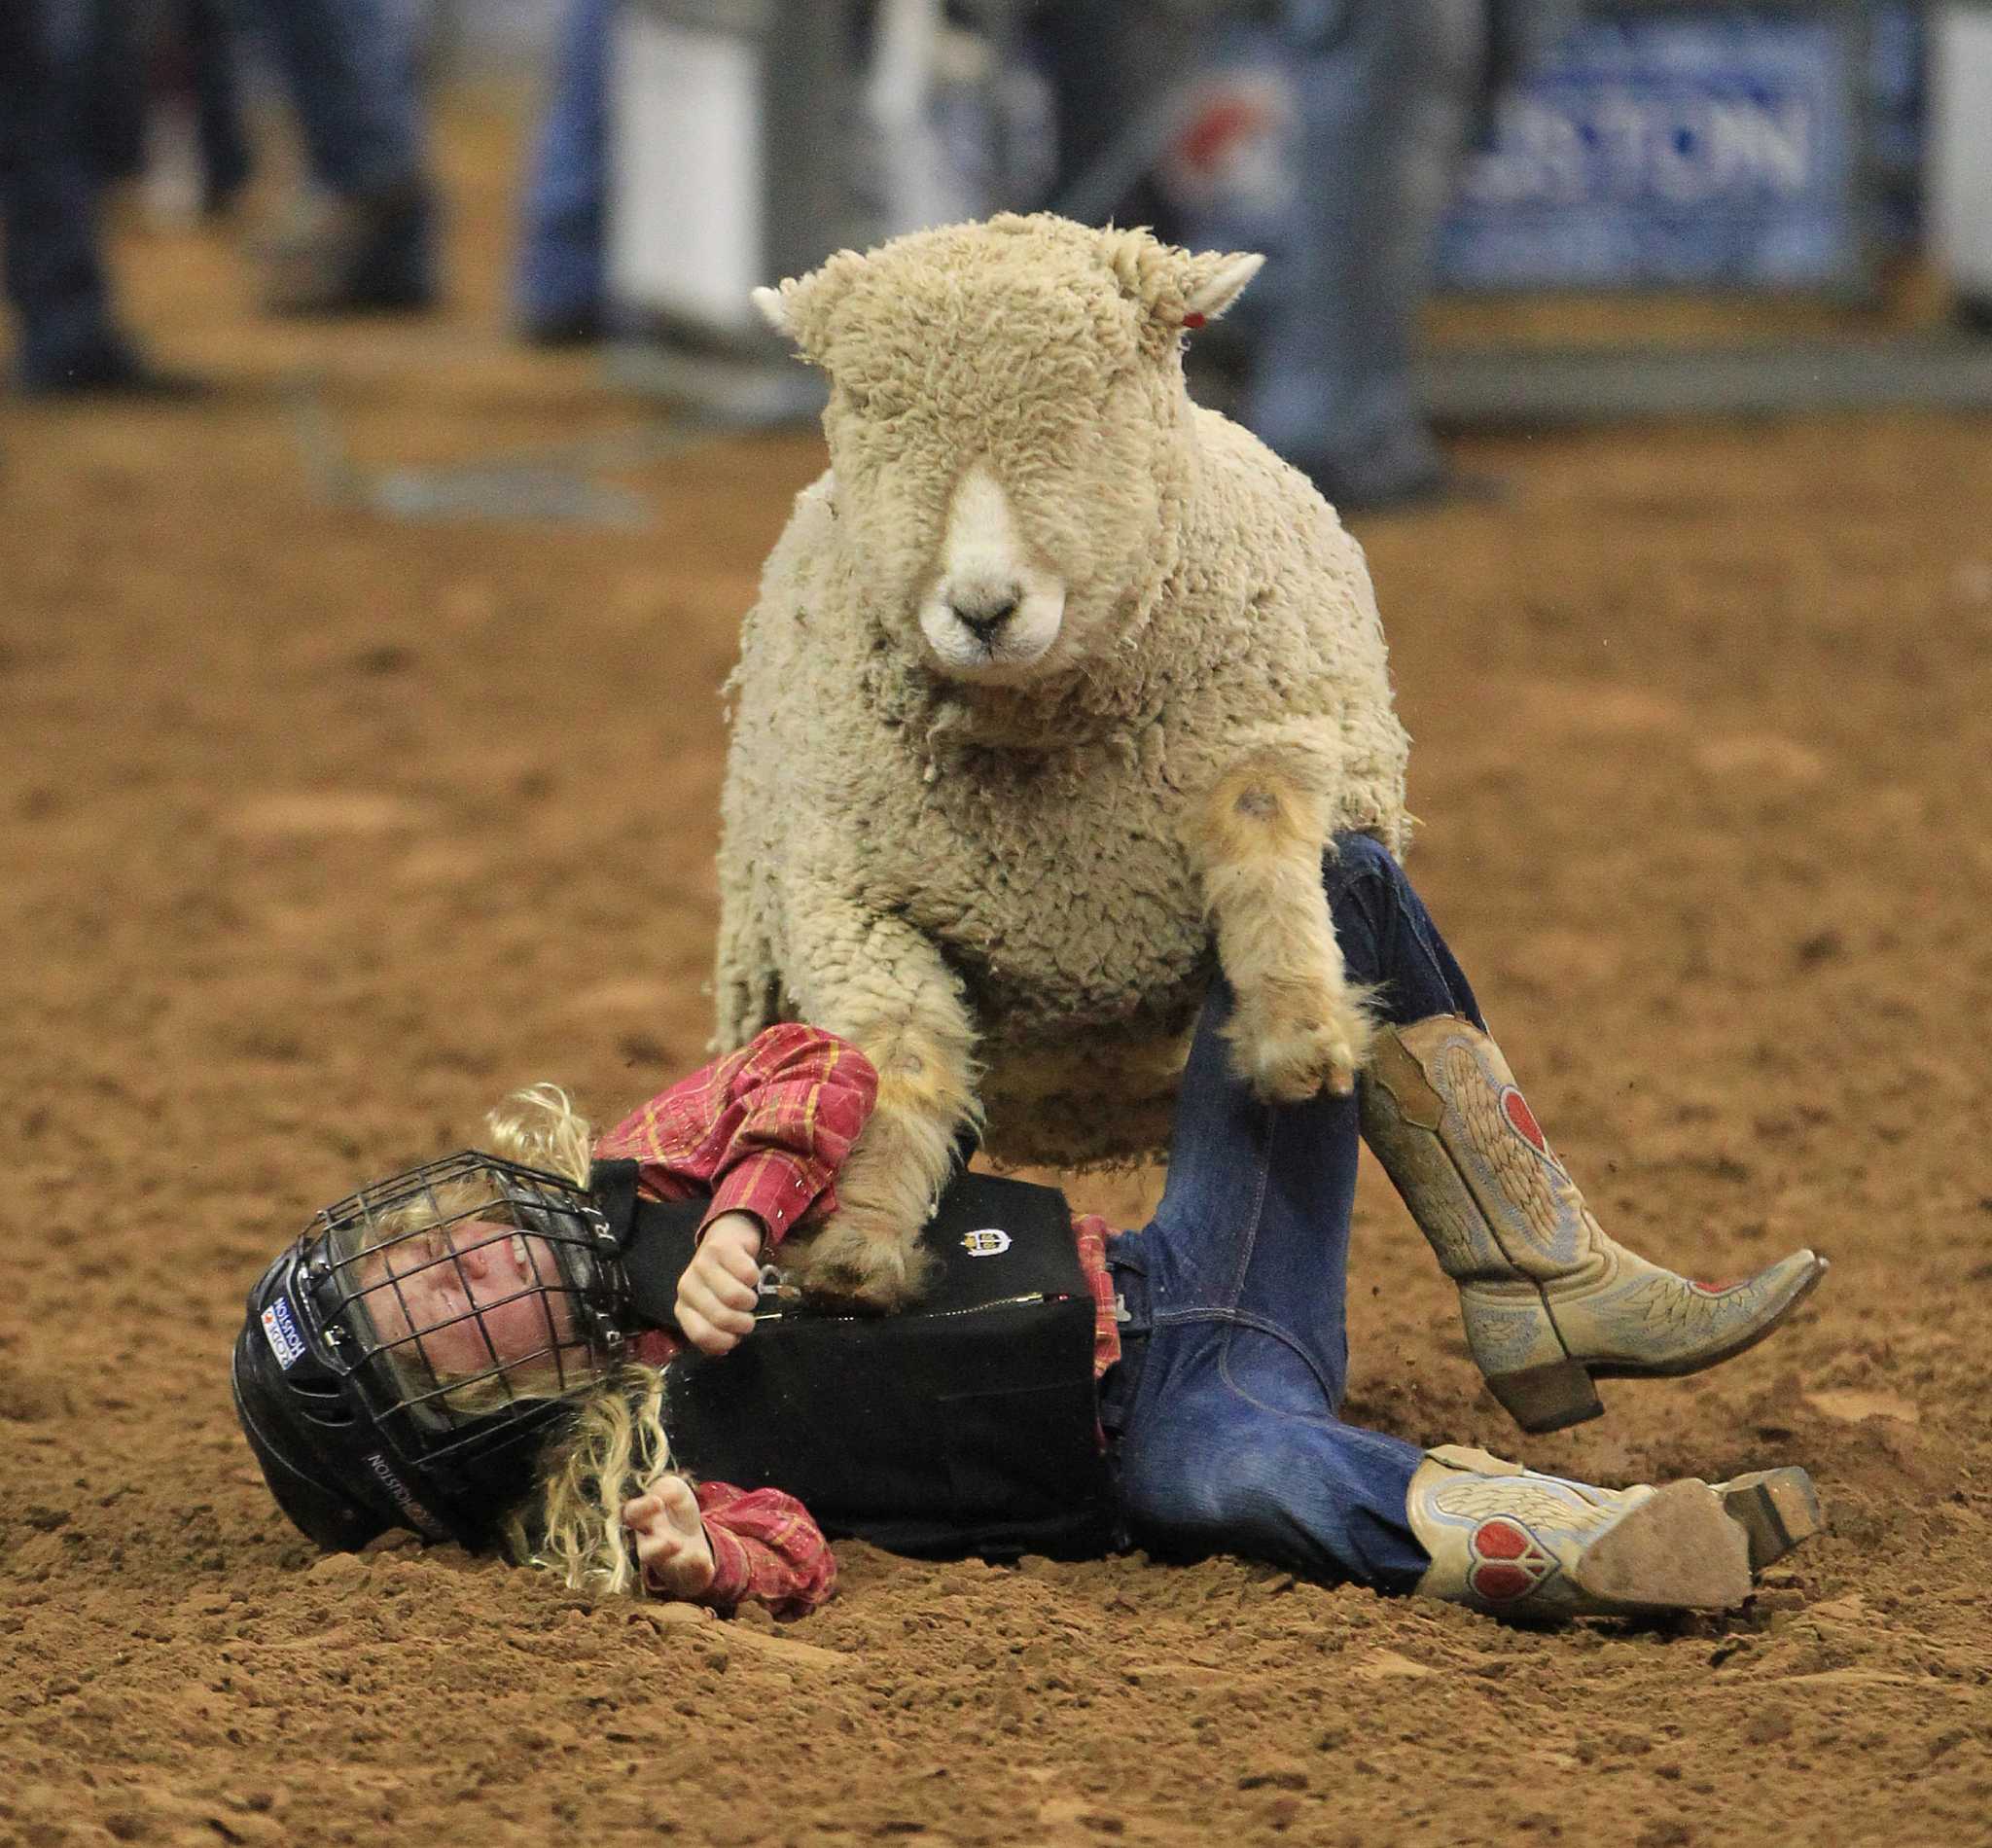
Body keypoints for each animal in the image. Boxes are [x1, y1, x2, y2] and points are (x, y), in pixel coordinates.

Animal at [717, 208, 1402, 1306]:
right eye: (868, 408)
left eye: (1098, 399)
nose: (982, 609)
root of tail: (1079, 1122)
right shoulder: (847, 899)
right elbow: (896, 1057)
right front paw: (858, 1241)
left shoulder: (1292, 730)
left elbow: (1256, 817)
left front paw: (1300, 1031)